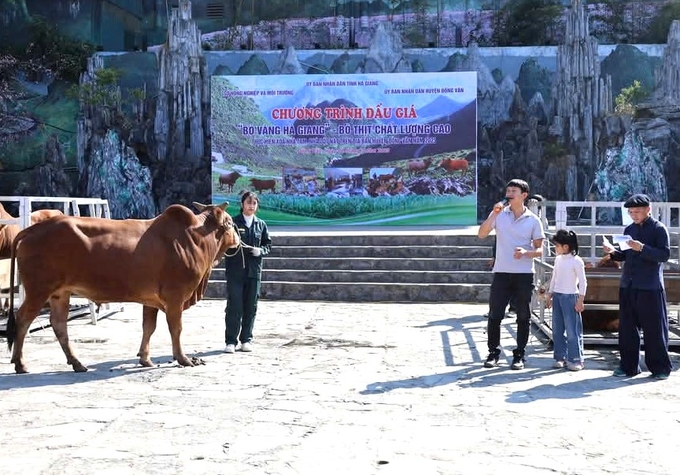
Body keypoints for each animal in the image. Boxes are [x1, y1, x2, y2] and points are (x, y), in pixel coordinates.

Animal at [6, 203, 240, 374]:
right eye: (230, 222)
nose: (239, 239)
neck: (195, 238)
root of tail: (32, 229)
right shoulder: (175, 298)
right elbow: (176, 329)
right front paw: (183, 359)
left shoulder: (151, 301)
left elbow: (148, 328)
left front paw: (145, 359)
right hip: (39, 290)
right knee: (23, 319)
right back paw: (20, 363)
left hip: (60, 293)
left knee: (59, 325)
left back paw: (77, 363)